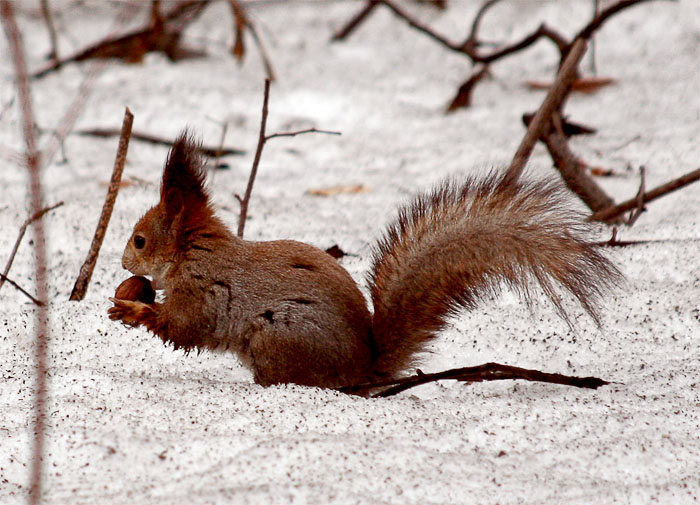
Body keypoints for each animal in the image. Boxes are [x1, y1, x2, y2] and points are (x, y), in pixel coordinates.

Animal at [106, 131, 620, 390]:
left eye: (139, 240)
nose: (123, 264)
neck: (195, 250)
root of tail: (364, 368)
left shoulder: (204, 291)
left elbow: (182, 326)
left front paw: (132, 309)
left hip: (280, 338)